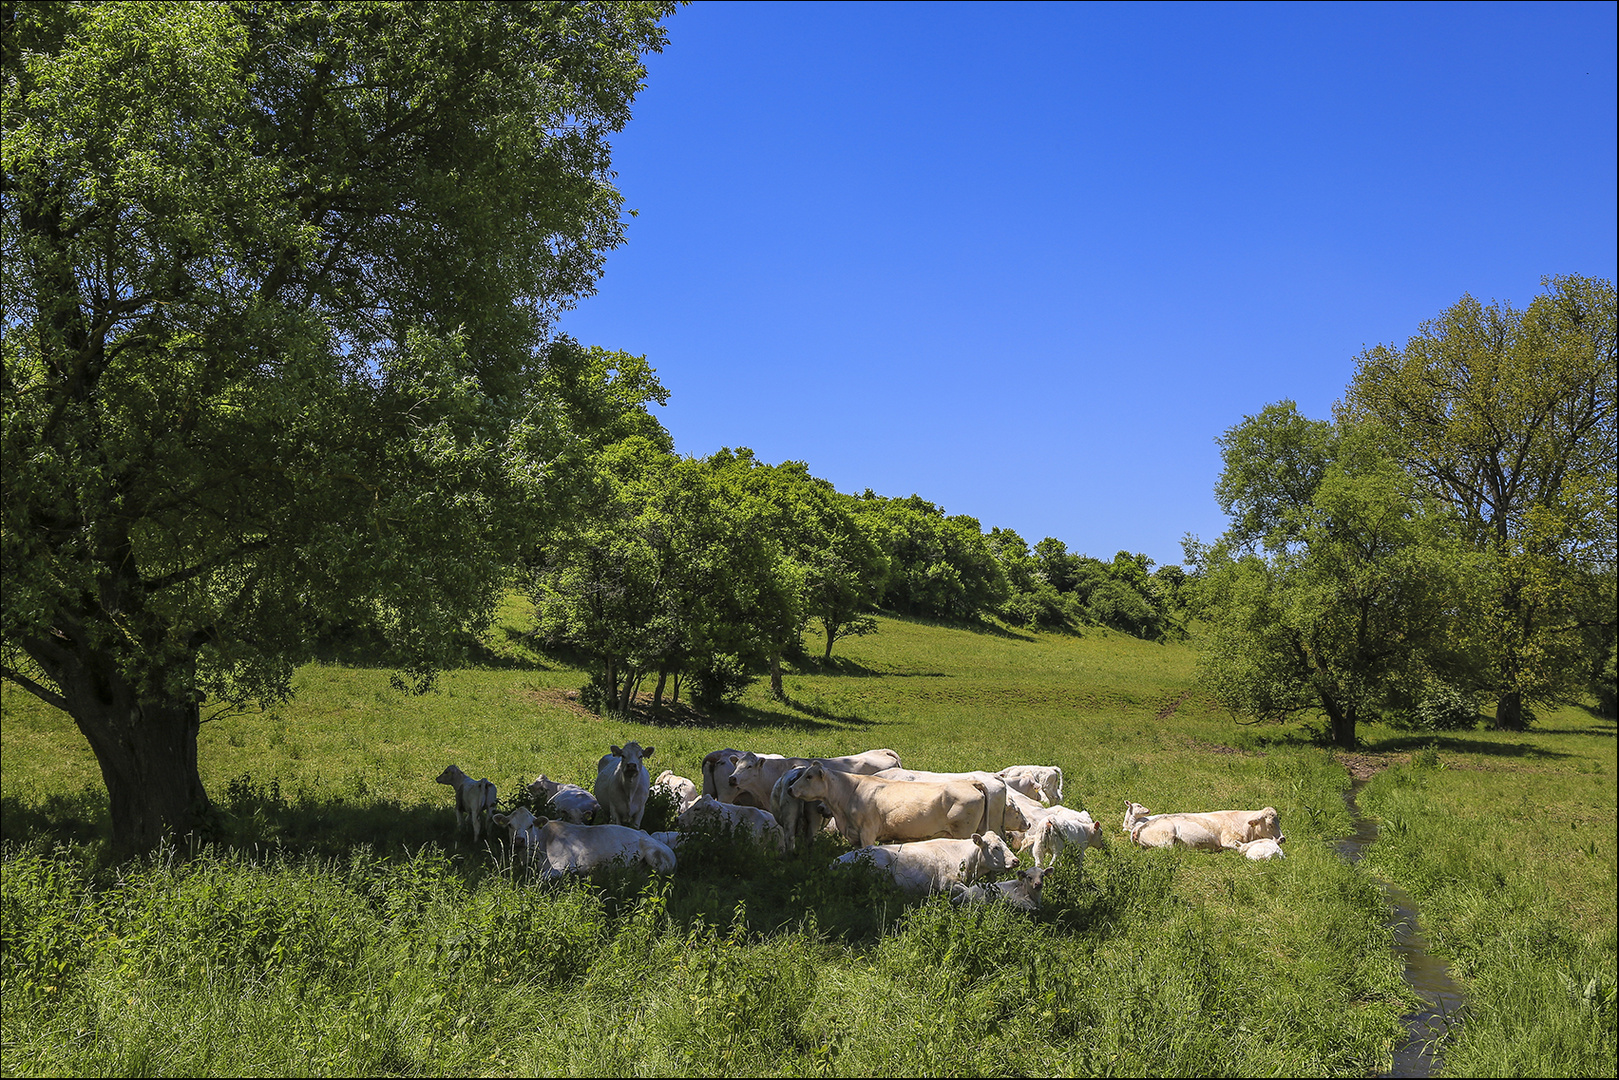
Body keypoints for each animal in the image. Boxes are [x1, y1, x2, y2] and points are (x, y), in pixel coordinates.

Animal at [485, 809, 676, 880]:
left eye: (530, 825)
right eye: (510, 825)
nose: (519, 840)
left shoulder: (566, 864)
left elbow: (541, 877)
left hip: (654, 855)